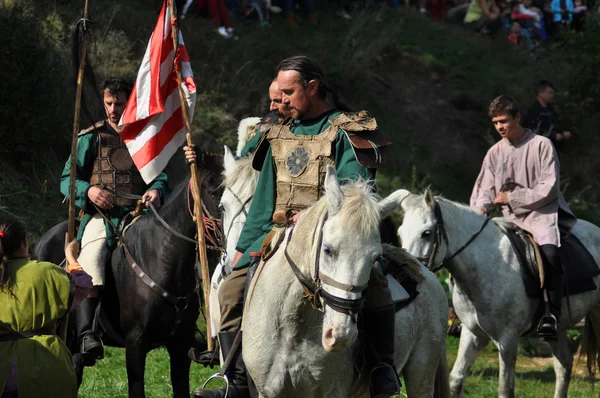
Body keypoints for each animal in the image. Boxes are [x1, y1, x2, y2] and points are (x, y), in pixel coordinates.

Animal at [241, 166, 448, 396]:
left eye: (375, 258)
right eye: (328, 249)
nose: (342, 335)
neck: (291, 327)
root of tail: (423, 271)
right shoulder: (268, 392)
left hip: (421, 377)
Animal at [392, 189, 600, 398]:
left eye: (426, 233)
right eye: (400, 233)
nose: (409, 272)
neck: (486, 265)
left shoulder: (507, 339)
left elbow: (505, 388)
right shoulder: (472, 334)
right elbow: (456, 380)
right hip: (558, 329)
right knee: (564, 365)